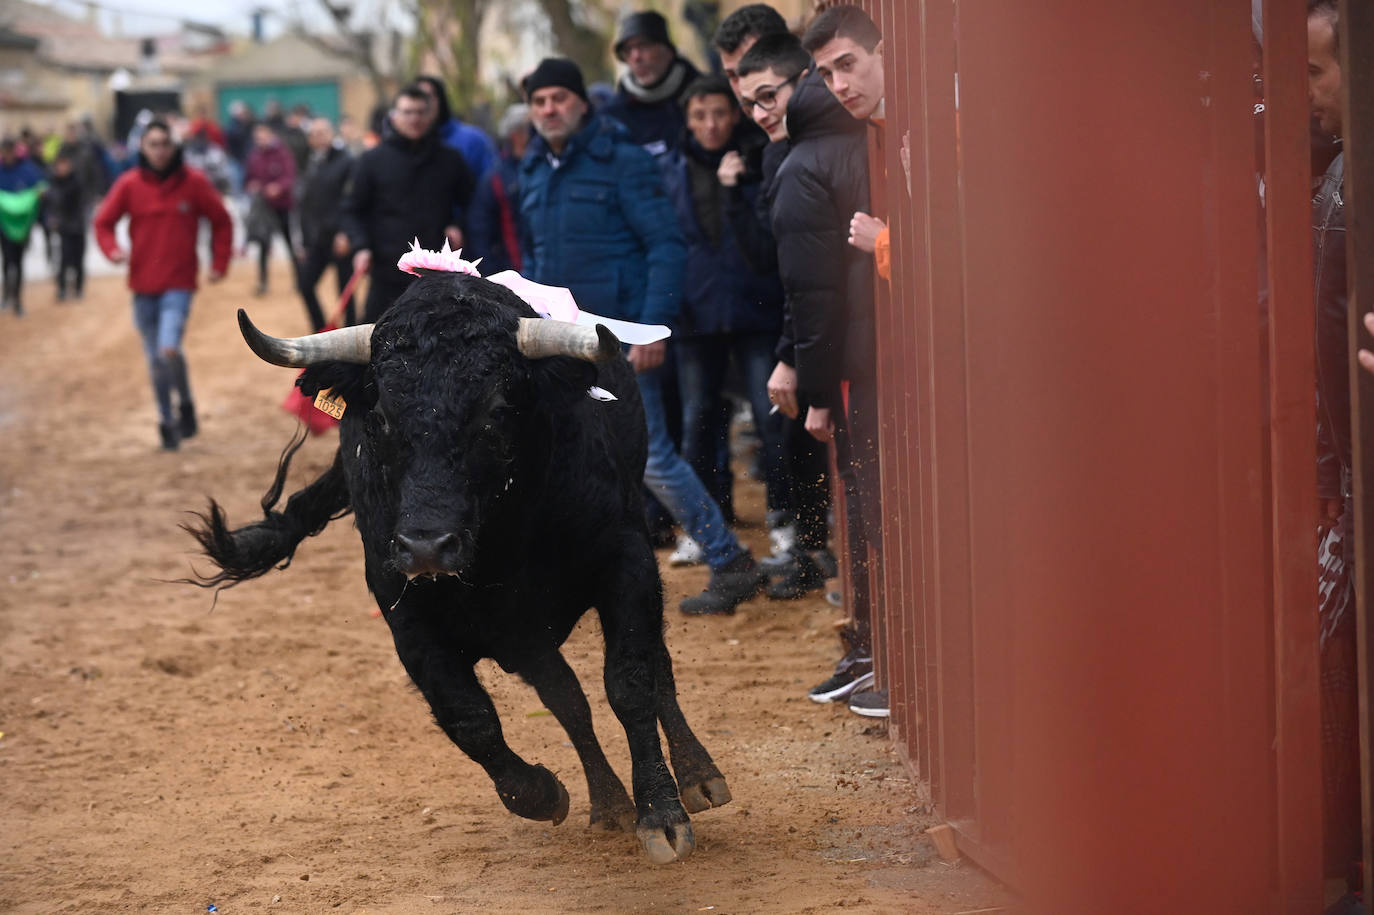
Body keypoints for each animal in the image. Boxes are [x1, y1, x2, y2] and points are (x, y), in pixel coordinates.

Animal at [190, 274, 741, 857]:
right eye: (380, 418)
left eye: (495, 413)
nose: (427, 547)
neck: (501, 540)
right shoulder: (408, 614)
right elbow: (470, 717)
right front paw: (540, 791)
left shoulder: (627, 563)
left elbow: (633, 682)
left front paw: (661, 812)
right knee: (567, 700)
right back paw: (609, 803)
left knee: (654, 672)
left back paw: (698, 776)